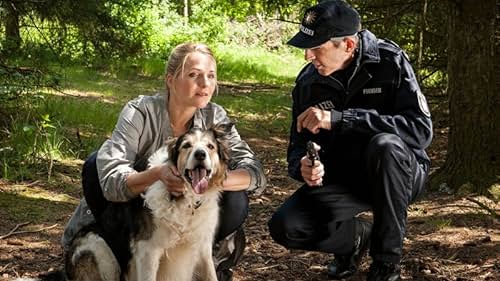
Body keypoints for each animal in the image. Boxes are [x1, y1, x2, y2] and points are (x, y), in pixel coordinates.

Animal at [23, 123, 232, 280]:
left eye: (210, 147)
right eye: (187, 146)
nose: (200, 154)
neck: (185, 201)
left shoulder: (202, 246)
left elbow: (211, 275)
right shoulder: (148, 250)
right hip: (99, 250)